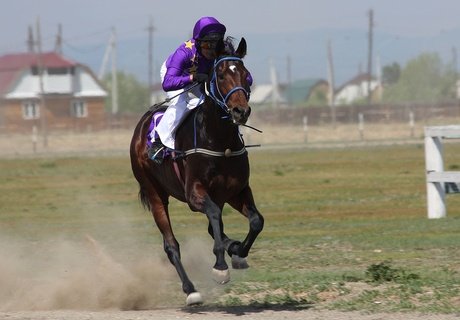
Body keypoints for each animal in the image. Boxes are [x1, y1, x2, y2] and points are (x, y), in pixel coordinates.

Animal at [131, 37, 264, 304]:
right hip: (155, 193)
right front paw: (220, 267)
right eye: (220, 75)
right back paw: (190, 289)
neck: (219, 140)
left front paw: (238, 252)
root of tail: (141, 126)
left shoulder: (237, 190)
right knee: (171, 245)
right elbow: (213, 215)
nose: (241, 111)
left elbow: (256, 221)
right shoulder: (194, 193)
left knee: (215, 227)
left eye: (246, 74)